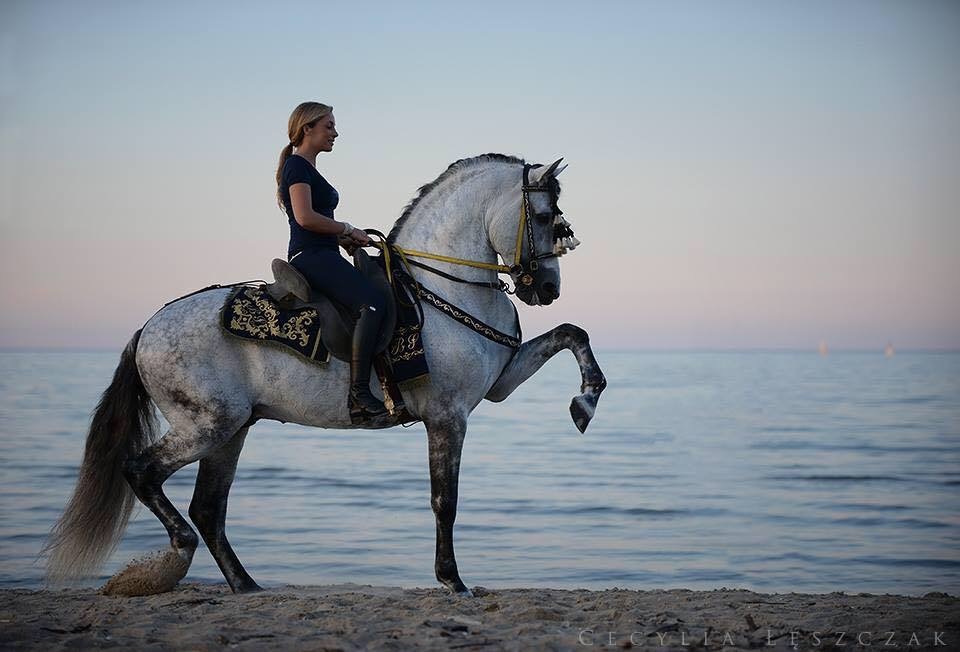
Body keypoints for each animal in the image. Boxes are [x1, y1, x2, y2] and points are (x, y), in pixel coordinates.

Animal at [41, 153, 608, 596]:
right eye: (544, 215)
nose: (547, 287)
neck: (443, 287)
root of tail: (148, 327)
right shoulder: (448, 416)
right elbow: (444, 501)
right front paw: (453, 580)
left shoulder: (498, 385)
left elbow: (572, 333)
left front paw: (585, 402)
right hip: (207, 425)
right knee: (143, 472)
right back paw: (175, 557)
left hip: (231, 430)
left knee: (208, 508)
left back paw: (245, 584)